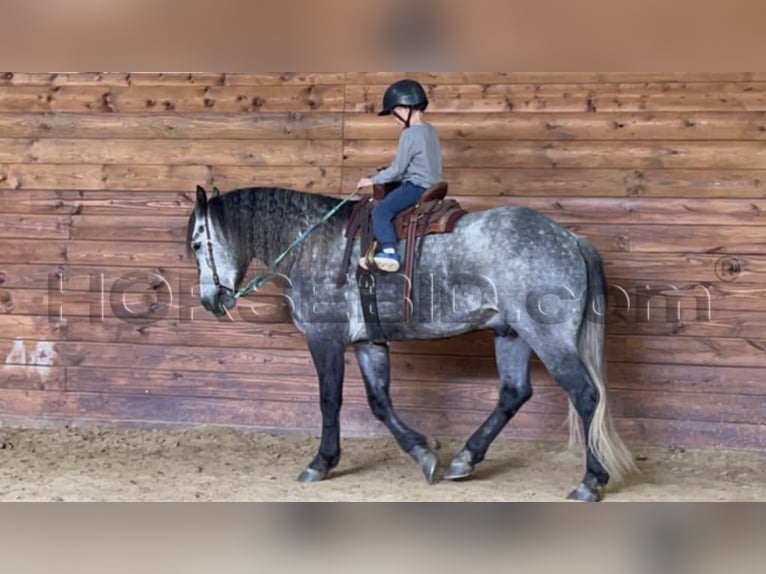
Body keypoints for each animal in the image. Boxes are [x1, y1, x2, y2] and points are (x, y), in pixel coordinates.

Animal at [186, 187, 636, 502]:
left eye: (195, 244)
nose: (211, 301)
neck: (314, 244)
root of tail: (570, 239)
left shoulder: (325, 339)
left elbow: (329, 400)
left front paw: (321, 463)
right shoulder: (368, 342)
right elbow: (380, 402)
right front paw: (423, 453)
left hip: (548, 337)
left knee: (585, 396)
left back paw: (591, 481)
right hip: (511, 334)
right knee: (514, 393)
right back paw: (465, 459)